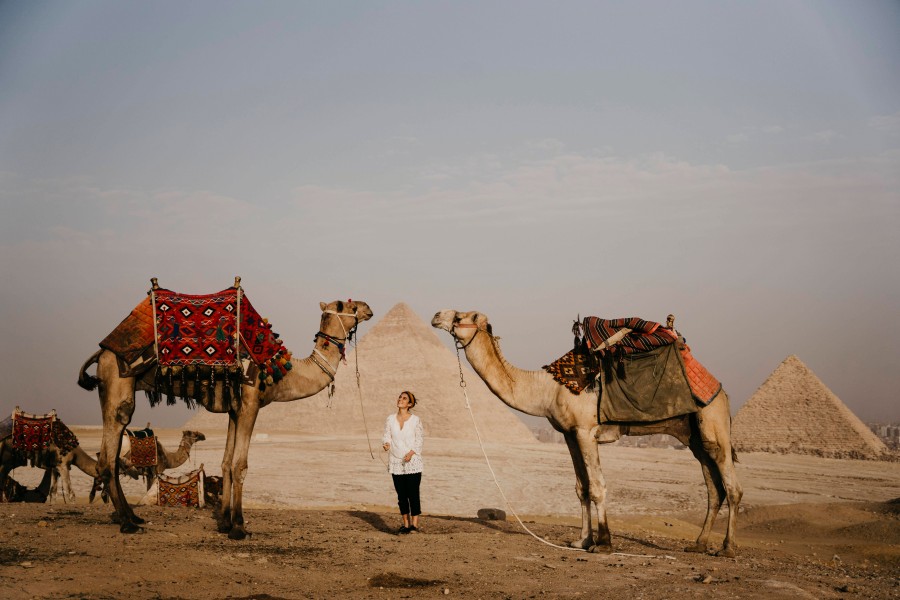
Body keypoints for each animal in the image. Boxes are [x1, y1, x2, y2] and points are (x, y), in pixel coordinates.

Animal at [78, 298, 372, 536]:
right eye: (349, 306)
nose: (368, 308)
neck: (282, 371)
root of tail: (101, 351)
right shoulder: (250, 403)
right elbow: (240, 466)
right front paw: (239, 527)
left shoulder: (234, 409)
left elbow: (226, 463)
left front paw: (225, 522)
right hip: (118, 384)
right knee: (109, 454)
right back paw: (128, 523)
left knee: (112, 455)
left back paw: (131, 517)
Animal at [432, 310, 740, 556]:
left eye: (459, 317)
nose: (436, 315)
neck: (548, 388)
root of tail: (722, 390)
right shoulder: (569, 434)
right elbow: (581, 488)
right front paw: (581, 541)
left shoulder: (585, 431)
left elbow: (597, 487)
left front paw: (603, 543)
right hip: (692, 435)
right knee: (714, 487)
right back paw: (699, 544)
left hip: (713, 420)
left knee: (732, 487)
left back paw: (726, 549)